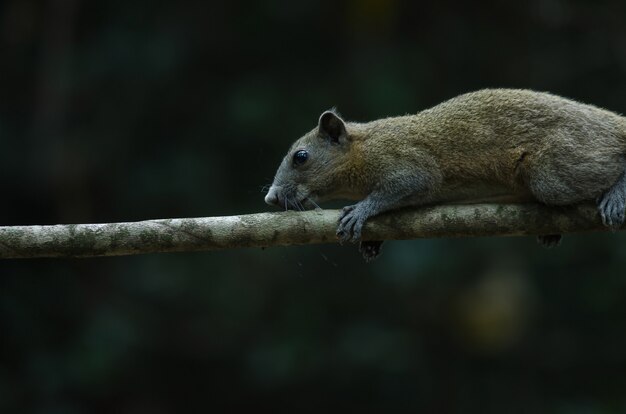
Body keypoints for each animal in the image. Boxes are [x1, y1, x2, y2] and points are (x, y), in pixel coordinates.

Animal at [264, 89, 624, 260]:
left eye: (301, 157)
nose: (270, 197)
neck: (363, 149)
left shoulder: (408, 161)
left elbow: (406, 185)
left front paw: (362, 211)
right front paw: (372, 242)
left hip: (555, 171)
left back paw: (617, 193)